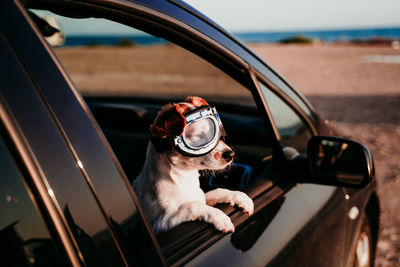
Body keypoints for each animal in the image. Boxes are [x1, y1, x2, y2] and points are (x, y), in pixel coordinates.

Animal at [134, 97, 253, 234]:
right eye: (198, 135)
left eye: (217, 129)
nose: (231, 154)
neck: (184, 178)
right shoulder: (161, 223)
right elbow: (192, 206)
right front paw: (220, 217)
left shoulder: (202, 197)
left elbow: (217, 191)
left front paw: (240, 197)